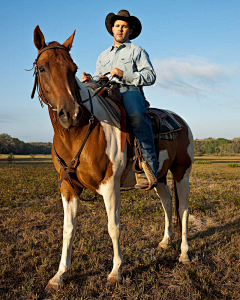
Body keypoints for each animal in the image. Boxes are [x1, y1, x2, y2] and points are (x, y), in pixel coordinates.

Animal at [31, 26, 194, 290]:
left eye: (73, 69)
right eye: (43, 68)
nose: (71, 113)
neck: (77, 134)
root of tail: (180, 119)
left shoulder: (110, 185)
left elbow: (113, 227)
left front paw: (116, 271)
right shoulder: (68, 187)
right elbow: (68, 229)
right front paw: (59, 275)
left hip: (182, 172)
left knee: (184, 210)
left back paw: (184, 254)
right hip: (159, 177)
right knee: (168, 204)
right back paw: (165, 242)